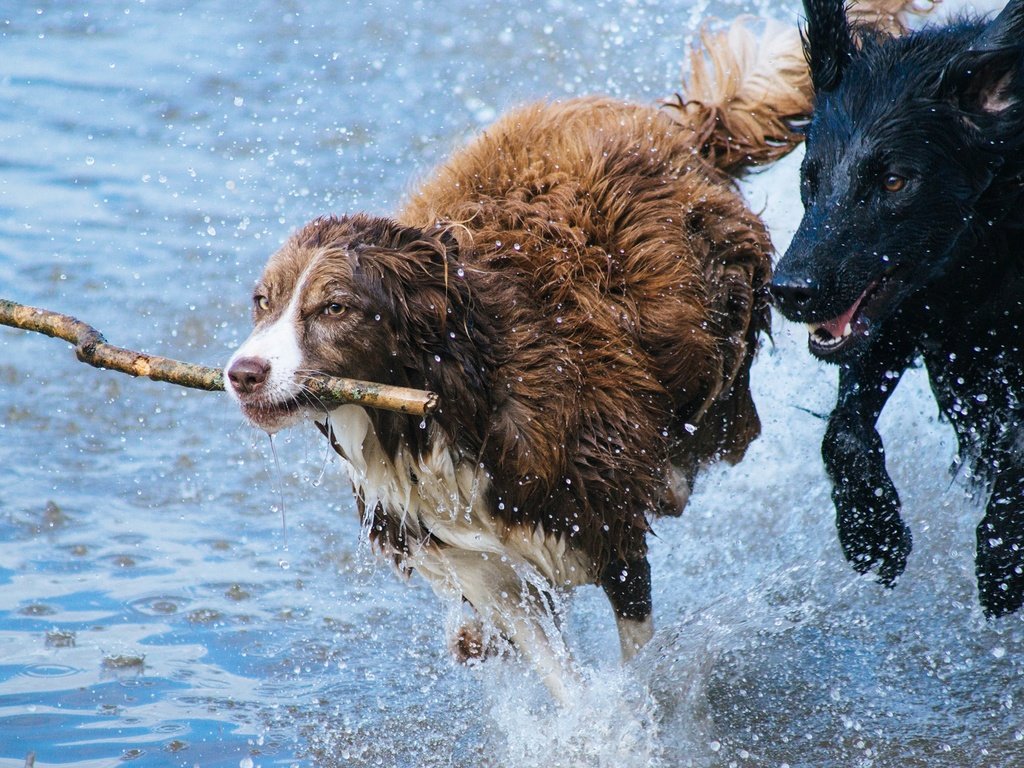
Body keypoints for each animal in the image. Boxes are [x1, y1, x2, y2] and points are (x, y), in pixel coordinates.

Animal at [770, 0, 1024, 618]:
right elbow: (843, 434)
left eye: (892, 181)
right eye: (810, 177)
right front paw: (872, 532)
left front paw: (1001, 563)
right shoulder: (899, 316)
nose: (789, 290)